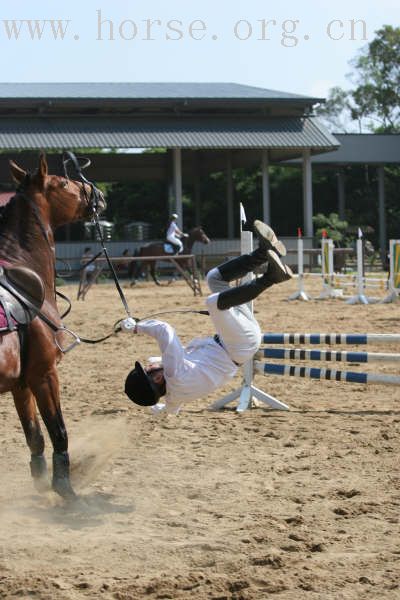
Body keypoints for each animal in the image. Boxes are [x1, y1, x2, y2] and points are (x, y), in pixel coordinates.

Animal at [0, 155, 105, 502]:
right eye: (63, 182)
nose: (98, 193)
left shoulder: (20, 384)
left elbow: (34, 436)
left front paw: (41, 481)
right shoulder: (43, 374)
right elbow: (58, 432)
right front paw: (65, 490)